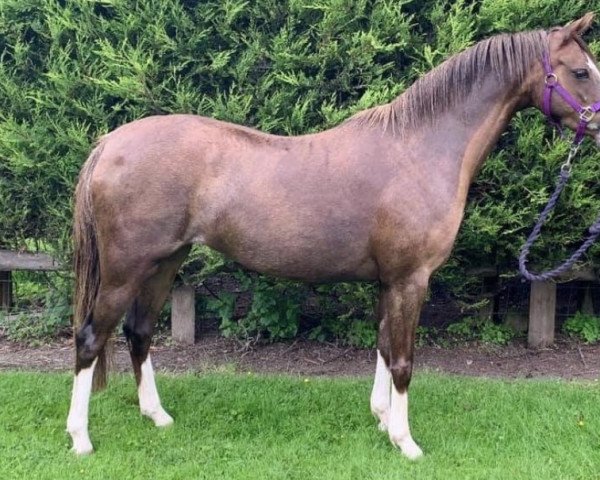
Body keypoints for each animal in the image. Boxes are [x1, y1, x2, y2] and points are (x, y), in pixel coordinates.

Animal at [65, 14, 600, 458]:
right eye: (580, 71)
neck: (420, 148)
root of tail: (110, 142)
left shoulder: (390, 281)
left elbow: (383, 345)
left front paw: (382, 421)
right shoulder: (410, 278)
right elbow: (403, 358)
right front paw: (406, 442)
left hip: (164, 263)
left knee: (138, 333)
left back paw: (157, 417)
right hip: (125, 270)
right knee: (91, 337)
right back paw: (81, 439)